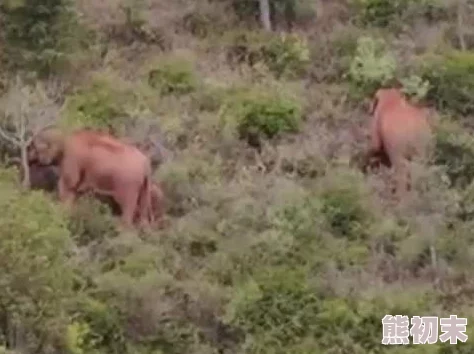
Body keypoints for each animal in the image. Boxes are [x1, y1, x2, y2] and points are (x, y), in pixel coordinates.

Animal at [28, 129, 160, 228]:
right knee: (143, 211)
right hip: (145, 187)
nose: (29, 159)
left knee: (127, 210)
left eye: (35, 148)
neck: (66, 138)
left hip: (128, 185)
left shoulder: (72, 159)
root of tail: (146, 164)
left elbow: (68, 186)